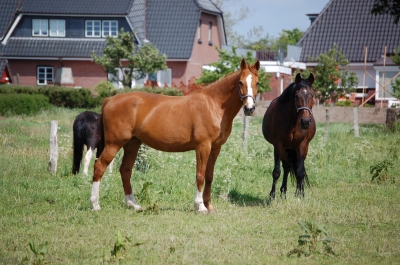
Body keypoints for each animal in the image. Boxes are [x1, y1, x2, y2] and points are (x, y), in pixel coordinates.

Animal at [89, 58, 260, 212]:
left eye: (257, 83)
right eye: (240, 82)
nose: (249, 109)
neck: (214, 105)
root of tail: (110, 100)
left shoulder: (215, 148)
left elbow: (209, 176)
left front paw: (209, 205)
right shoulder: (203, 146)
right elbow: (200, 175)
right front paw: (200, 206)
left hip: (132, 144)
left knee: (125, 170)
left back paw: (133, 204)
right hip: (114, 144)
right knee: (99, 166)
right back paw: (95, 205)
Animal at [262, 72, 316, 200]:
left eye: (312, 95)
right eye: (296, 96)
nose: (305, 122)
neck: (293, 121)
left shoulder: (302, 145)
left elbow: (300, 171)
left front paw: (301, 194)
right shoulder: (278, 145)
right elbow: (277, 171)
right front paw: (272, 196)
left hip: (300, 148)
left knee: (297, 167)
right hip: (285, 148)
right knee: (286, 166)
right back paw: (283, 191)